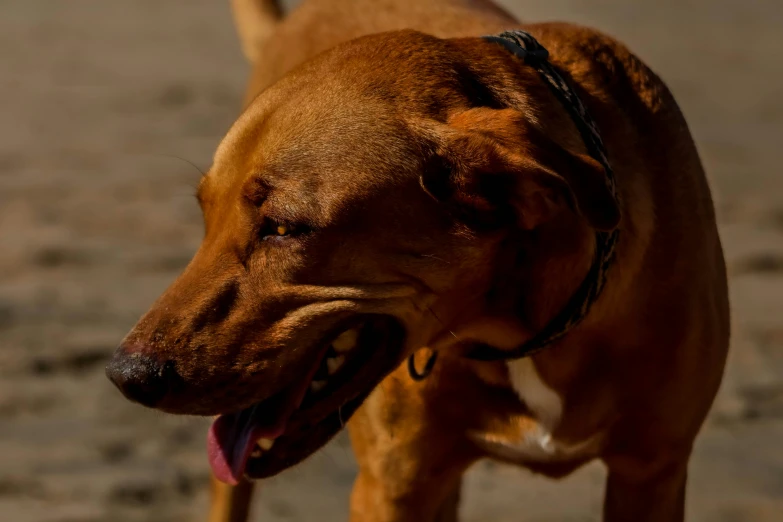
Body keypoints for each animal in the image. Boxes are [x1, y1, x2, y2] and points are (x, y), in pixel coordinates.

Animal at [105, 1, 728, 520]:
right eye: (204, 217)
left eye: (282, 228)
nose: (127, 376)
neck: (519, 330)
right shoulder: (393, 489)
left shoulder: (651, 474)